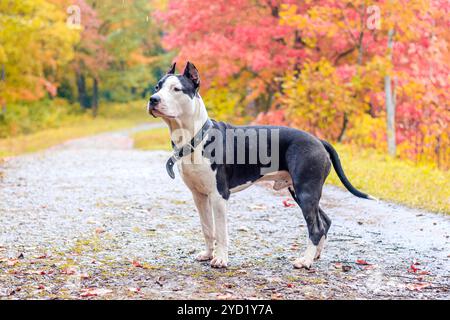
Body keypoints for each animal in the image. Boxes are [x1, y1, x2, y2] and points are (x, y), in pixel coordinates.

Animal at [148, 61, 372, 268]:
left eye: (176, 89)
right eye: (157, 87)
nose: (153, 99)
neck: (196, 137)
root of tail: (318, 140)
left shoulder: (219, 196)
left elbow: (220, 231)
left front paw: (220, 259)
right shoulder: (199, 195)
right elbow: (207, 228)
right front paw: (208, 254)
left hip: (306, 191)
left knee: (315, 227)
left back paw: (305, 261)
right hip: (301, 192)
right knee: (324, 221)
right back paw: (315, 255)